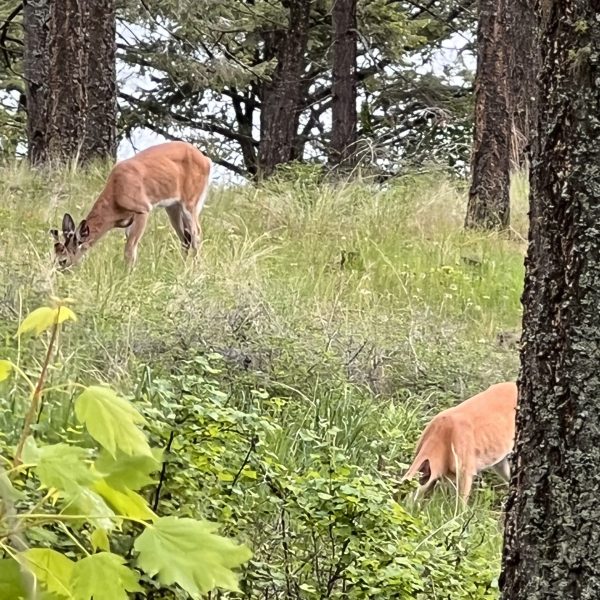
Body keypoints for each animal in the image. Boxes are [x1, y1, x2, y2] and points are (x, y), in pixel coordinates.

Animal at [51, 141, 213, 268]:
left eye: (63, 260)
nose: (60, 271)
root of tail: (206, 160)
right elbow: (130, 245)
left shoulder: (142, 209)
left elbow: (130, 248)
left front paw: (127, 274)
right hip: (173, 206)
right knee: (185, 237)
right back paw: (183, 266)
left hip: (191, 201)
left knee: (196, 234)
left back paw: (195, 269)